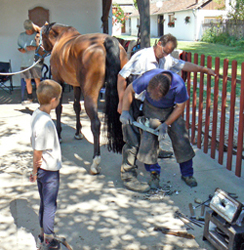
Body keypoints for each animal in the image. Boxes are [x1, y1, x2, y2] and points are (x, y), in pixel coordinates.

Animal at [36, 23, 129, 174]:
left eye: (37, 36)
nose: (36, 56)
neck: (61, 38)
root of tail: (108, 41)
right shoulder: (76, 85)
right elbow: (76, 107)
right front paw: (78, 132)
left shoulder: (58, 80)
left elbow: (58, 108)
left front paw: (59, 135)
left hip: (90, 95)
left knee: (96, 124)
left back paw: (95, 162)